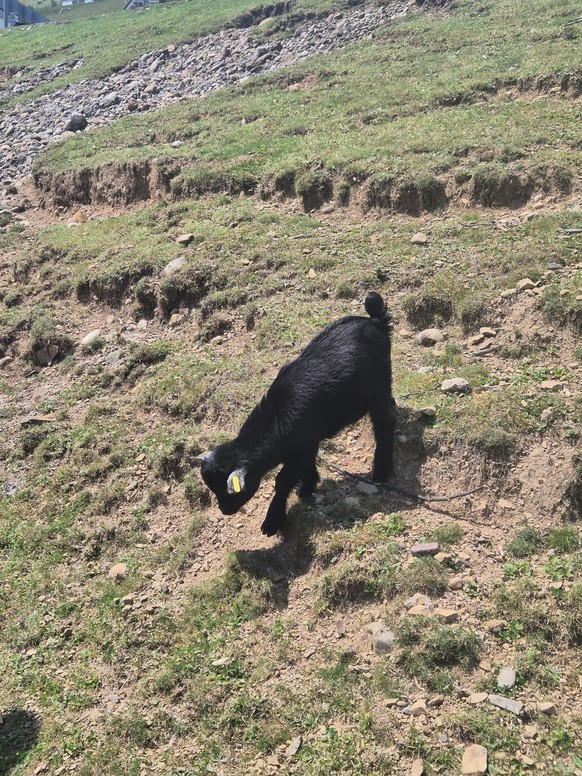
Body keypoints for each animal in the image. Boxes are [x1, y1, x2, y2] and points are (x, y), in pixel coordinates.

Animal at [194, 291, 395, 536]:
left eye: (228, 491)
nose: (224, 510)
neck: (276, 418)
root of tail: (376, 322)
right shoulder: (307, 444)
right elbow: (306, 467)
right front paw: (308, 487)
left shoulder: (303, 444)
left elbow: (282, 480)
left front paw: (272, 520)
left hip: (378, 382)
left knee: (384, 421)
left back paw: (380, 472)